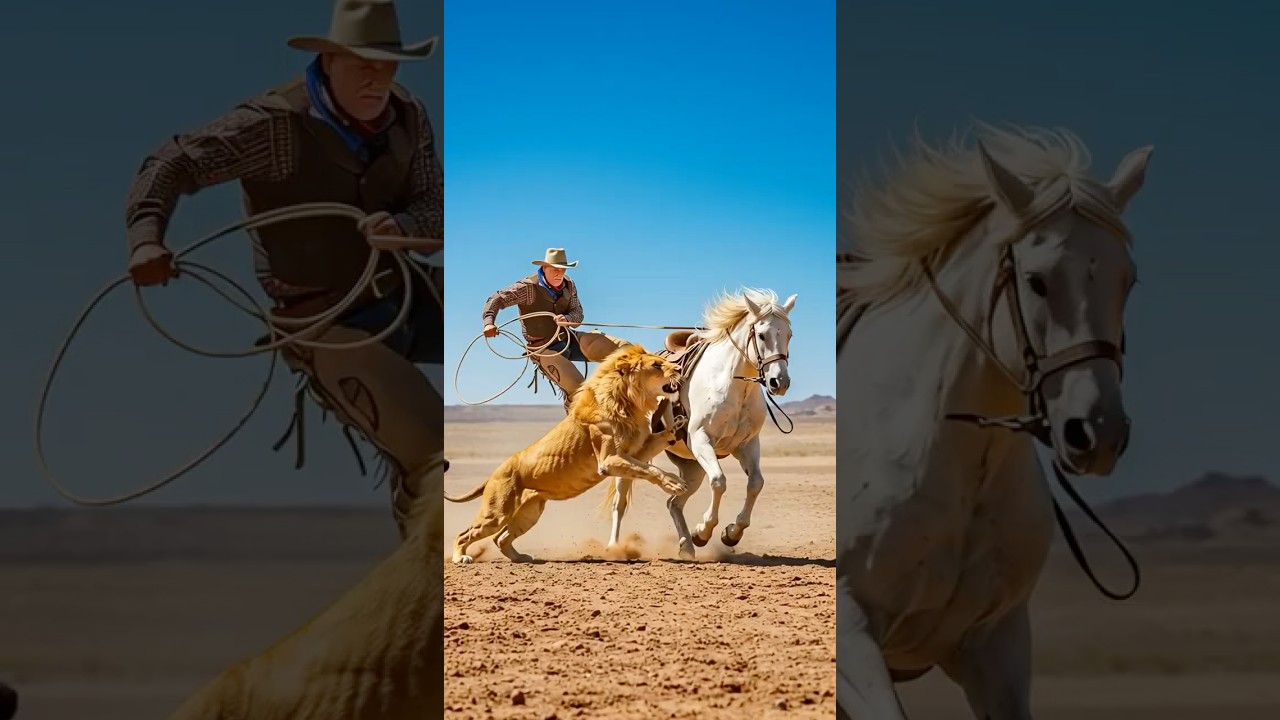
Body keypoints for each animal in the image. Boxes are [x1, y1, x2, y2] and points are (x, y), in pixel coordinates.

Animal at [447, 344, 688, 563]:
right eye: (656, 364)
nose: (679, 367)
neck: (629, 401)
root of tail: (494, 473)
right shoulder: (608, 460)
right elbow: (651, 469)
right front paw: (674, 483)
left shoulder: (635, 451)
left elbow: (651, 457)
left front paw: (677, 426)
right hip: (496, 514)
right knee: (464, 534)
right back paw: (460, 558)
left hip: (529, 513)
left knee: (501, 538)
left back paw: (521, 558)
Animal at [604, 287, 796, 560]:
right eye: (761, 335)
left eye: (789, 334)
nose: (779, 382)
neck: (732, 385)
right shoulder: (701, 439)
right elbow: (718, 481)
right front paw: (704, 531)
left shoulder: (747, 445)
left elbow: (755, 484)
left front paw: (731, 533)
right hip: (632, 454)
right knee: (620, 500)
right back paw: (615, 547)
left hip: (691, 468)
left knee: (674, 502)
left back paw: (686, 545)